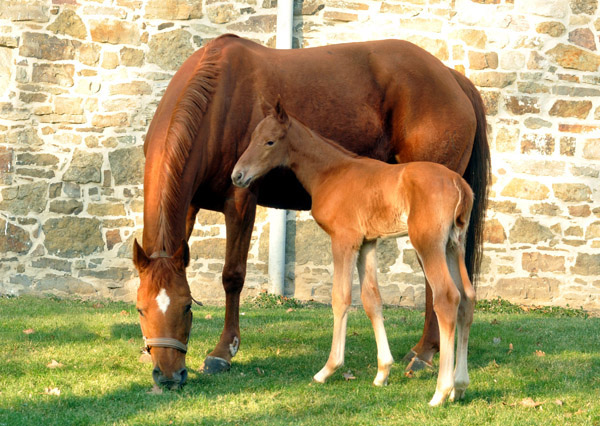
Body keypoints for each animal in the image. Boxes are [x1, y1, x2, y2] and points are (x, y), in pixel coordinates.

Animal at [232, 100, 476, 406]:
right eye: (253, 137)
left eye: (270, 141)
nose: (237, 175)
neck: (332, 172)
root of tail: (458, 183)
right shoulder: (367, 243)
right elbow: (372, 300)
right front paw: (382, 373)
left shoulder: (344, 240)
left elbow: (341, 297)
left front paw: (328, 369)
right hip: (454, 245)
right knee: (467, 298)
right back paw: (460, 386)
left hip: (428, 243)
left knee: (447, 298)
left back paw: (441, 391)